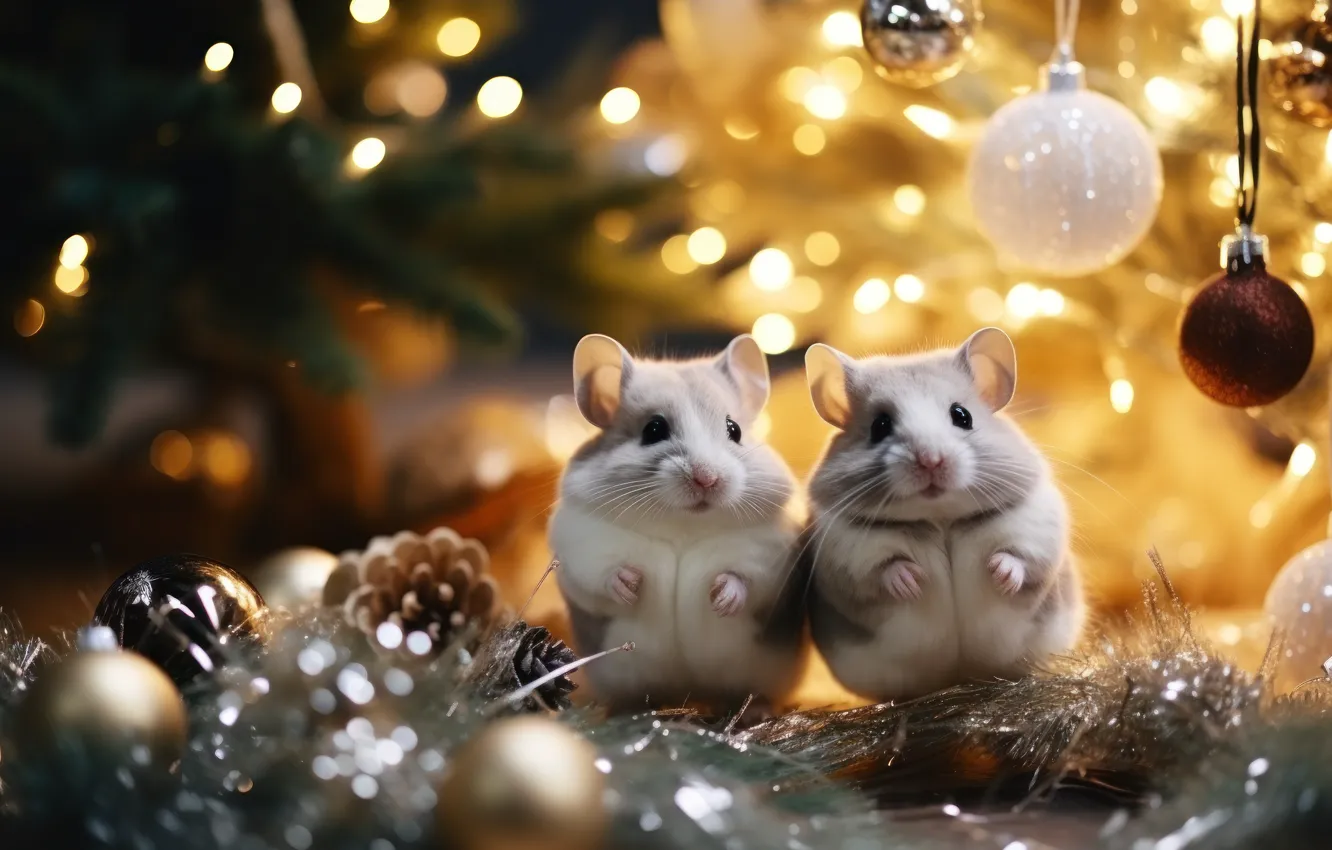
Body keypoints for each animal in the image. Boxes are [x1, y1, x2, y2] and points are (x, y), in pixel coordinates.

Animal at [548, 333, 806, 713]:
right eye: (653, 429)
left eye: (734, 430)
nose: (706, 479)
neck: (684, 526)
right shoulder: (582, 548)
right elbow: (602, 577)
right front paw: (630, 585)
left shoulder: (769, 556)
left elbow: (746, 580)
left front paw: (721, 598)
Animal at [802, 327, 1083, 701]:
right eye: (879, 426)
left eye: (962, 415)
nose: (930, 460)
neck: (940, 519)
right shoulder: (848, 552)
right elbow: (882, 569)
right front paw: (912, 581)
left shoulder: (1034, 527)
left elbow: (1018, 558)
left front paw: (998, 573)